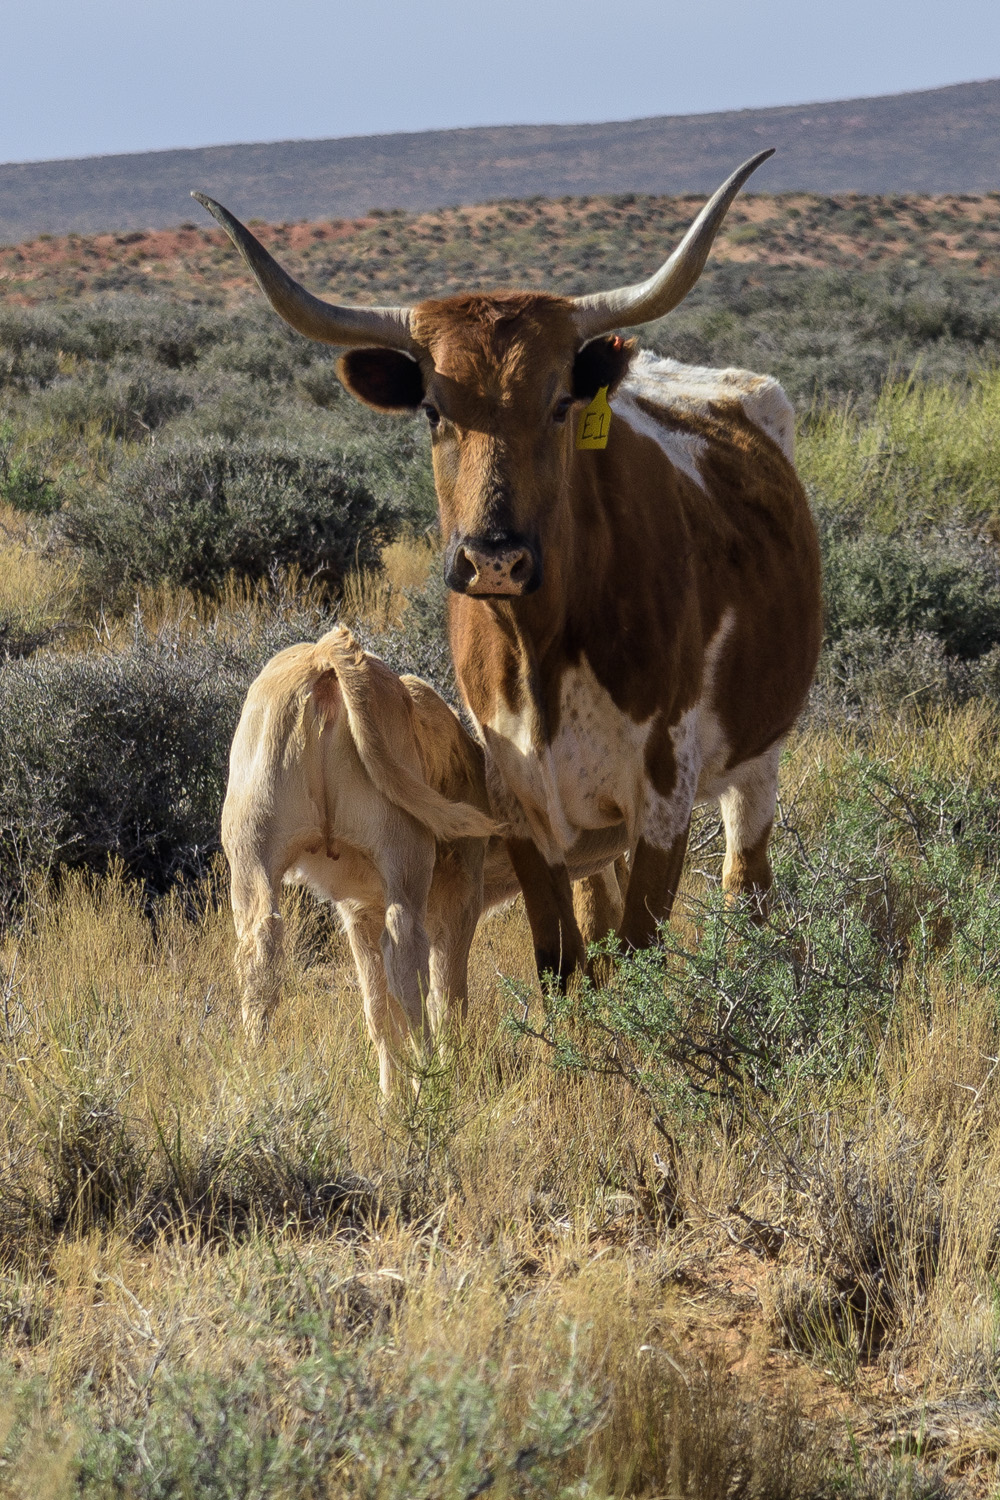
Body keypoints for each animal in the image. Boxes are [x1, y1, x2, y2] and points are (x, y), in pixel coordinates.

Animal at [198, 150, 822, 988]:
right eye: (433, 410)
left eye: (560, 403)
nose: (495, 556)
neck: (543, 646)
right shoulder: (523, 799)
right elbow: (562, 956)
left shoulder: (663, 795)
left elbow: (639, 951)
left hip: (758, 760)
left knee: (745, 885)